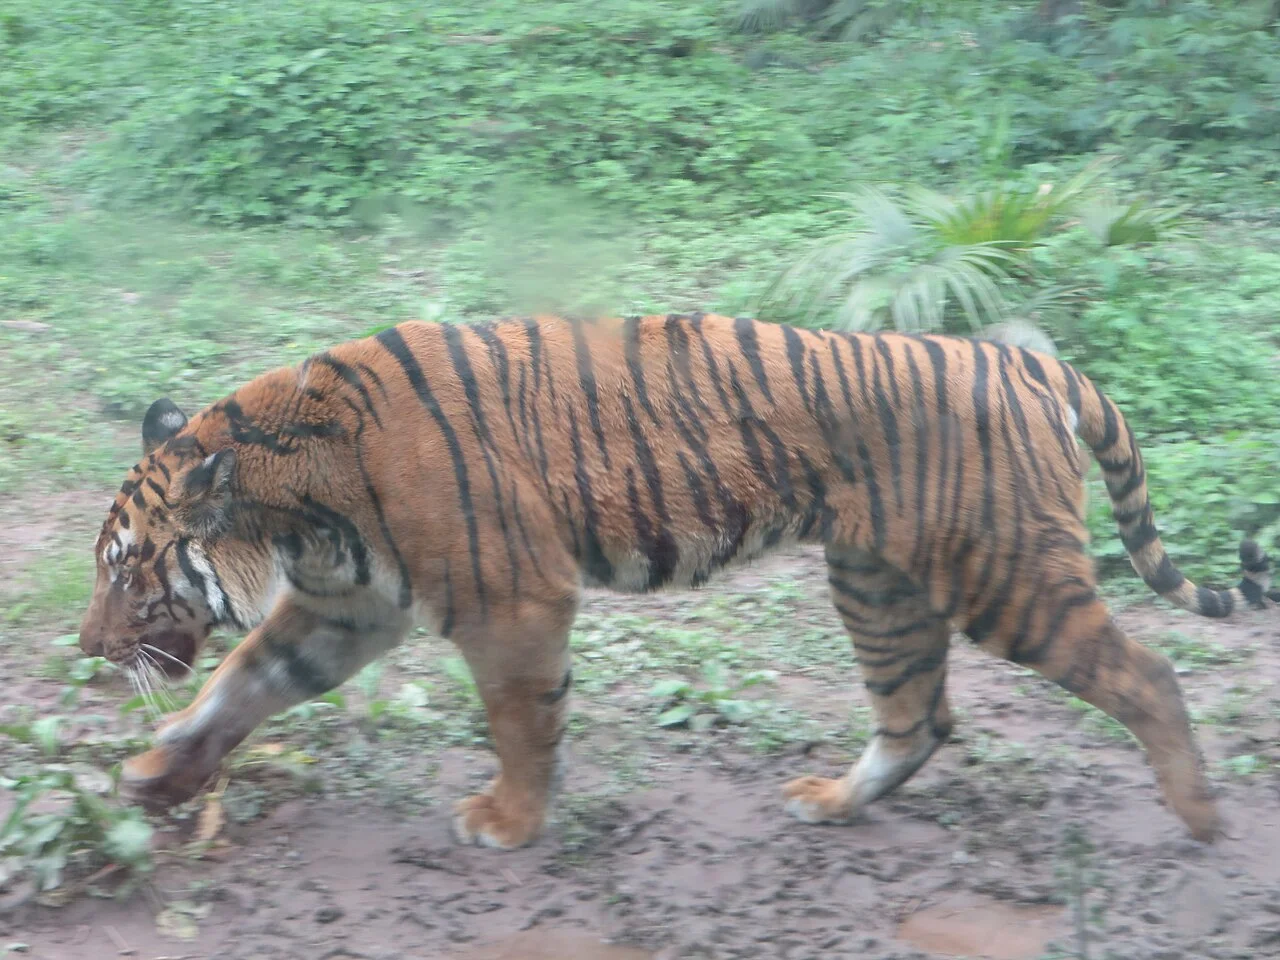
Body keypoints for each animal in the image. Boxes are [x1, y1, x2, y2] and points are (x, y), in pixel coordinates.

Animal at [78, 313, 1271, 849]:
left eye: (129, 570)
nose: (87, 649)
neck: (295, 499)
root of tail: (1021, 354)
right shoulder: (344, 606)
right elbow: (240, 684)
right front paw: (158, 776)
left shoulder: (512, 601)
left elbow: (520, 723)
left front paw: (507, 821)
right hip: (878, 585)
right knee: (918, 716)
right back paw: (832, 801)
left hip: (1005, 576)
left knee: (1146, 676)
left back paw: (1202, 816)